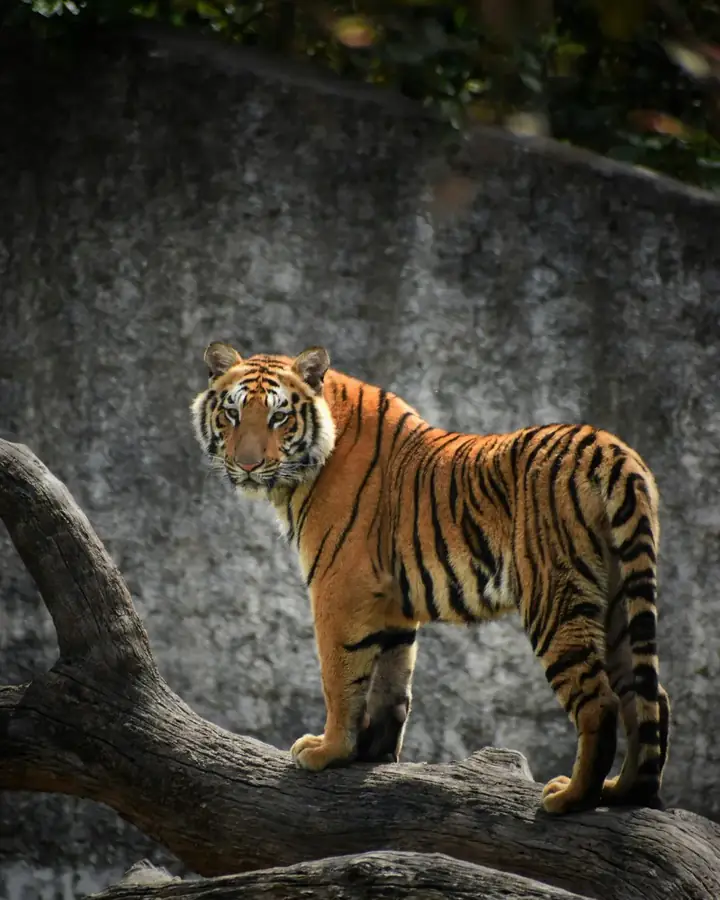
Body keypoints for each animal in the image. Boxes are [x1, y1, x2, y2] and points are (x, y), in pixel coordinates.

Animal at [190, 340, 670, 815]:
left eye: (279, 417)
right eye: (232, 414)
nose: (248, 464)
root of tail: (611, 449)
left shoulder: (338, 588)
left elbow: (340, 677)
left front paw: (328, 751)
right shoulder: (390, 602)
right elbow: (391, 681)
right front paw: (374, 754)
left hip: (555, 597)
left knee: (600, 702)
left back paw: (570, 798)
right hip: (618, 600)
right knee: (648, 697)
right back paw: (623, 791)